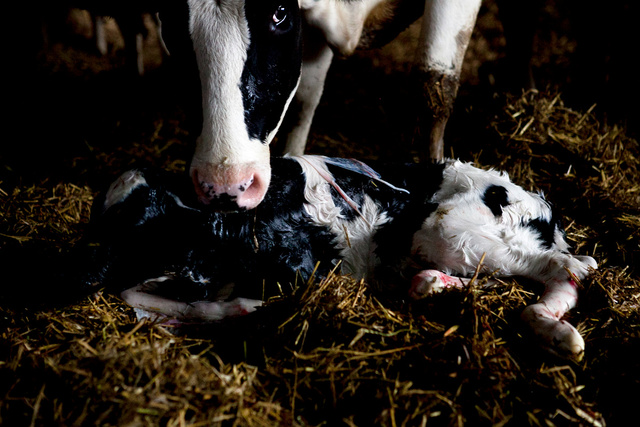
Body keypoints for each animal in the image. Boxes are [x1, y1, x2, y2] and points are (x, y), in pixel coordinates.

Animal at [75, 156, 597, 360]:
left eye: (149, 223)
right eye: (119, 231)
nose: (191, 271)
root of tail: (543, 208)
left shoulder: (297, 271)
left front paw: (243, 308)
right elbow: (133, 298)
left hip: (450, 228)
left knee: (567, 270)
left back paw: (562, 334)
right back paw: (434, 286)